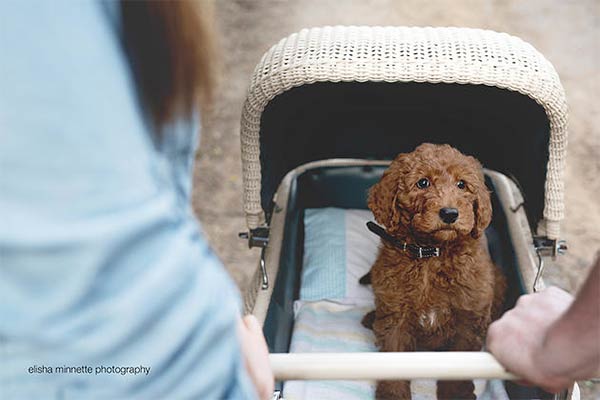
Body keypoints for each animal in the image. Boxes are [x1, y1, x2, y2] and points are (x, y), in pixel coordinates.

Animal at [360, 142, 506, 398]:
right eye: (423, 182)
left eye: (462, 184)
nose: (450, 213)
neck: (431, 254)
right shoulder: (395, 316)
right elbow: (392, 360)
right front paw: (393, 394)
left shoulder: (468, 318)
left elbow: (460, 360)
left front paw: (457, 393)